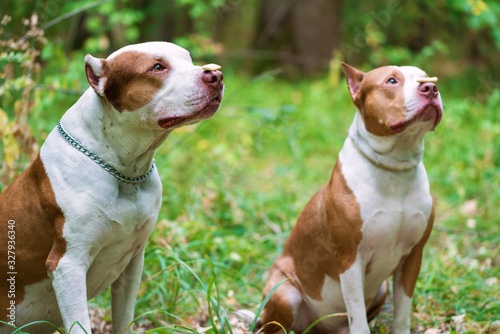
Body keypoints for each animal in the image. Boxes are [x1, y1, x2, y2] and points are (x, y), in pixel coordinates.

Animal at [0, 41, 223, 334]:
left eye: (188, 59)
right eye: (158, 67)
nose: (216, 74)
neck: (125, 172)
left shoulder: (132, 263)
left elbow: (124, 318)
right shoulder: (68, 265)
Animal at [260, 63, 444, 334]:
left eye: (428, 78)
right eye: (391, 81)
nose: (430, 88)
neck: (394, 169)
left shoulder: (412, 257)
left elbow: (402, 313)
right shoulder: (350, 260)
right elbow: (357, 315)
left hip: (381, 288)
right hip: (284, 291)